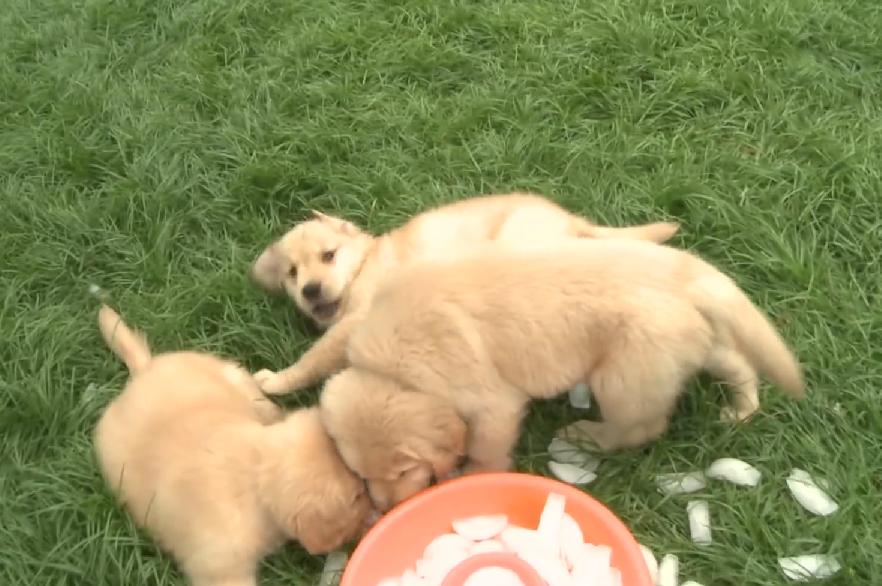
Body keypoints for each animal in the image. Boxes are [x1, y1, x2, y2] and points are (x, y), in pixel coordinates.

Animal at [93, 304, 372, 584]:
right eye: (358, 494)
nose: (377, 513)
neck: (254, 472)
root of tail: (144, 370)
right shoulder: (223, 570)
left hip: (239, 379)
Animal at [251, 192, 676, 392]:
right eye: (292, 273)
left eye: (328, 255)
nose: (310, 290)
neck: (364, 266)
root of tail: (569, 219)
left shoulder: (355, 319)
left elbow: (313, 359)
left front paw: (277, 380)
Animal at [316, 240, 804, 508]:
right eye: (361, 474)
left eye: (402, 470)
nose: (385, 507)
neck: (392, 370)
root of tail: (686, 272)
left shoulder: (492, 405)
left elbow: (485, 450)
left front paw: (475, 478)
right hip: (695, 346)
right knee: (738, 363)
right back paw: (741, 409)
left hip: (624, 376)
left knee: (640, 427)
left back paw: (586, 436)